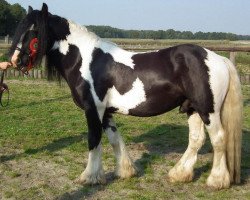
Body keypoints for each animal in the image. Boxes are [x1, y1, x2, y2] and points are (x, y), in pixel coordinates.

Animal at [9, 3, 242, 190]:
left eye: (35, 30)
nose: (16, 61)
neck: (86, 61)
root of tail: (218, 58)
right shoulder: (105, 112)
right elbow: (114, 139)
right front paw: (125, 171)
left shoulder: (93, 109)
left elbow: (94, 140)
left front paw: (89, 177)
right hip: (192, 108)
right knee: (196, 139)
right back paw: (179, 174)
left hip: (208, 110)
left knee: (218, 139)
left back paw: (216, 181)